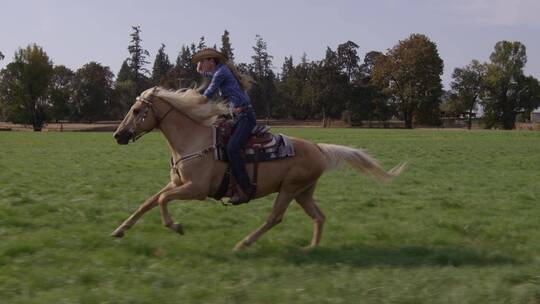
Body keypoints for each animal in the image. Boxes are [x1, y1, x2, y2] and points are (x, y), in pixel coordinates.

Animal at [110, 86, 404, 251]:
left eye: (136, 110)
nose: (118, 135)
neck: (194, 140)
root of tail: (318, 148)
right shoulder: (177, 183)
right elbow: (148, 202)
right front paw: (119, 230)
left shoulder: (196, 189)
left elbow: (161, 200)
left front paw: (176, 226)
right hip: (304, 192)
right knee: (319, 217)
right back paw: (311, 247)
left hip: (290, 189)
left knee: (275, 217)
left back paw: (243, 244)